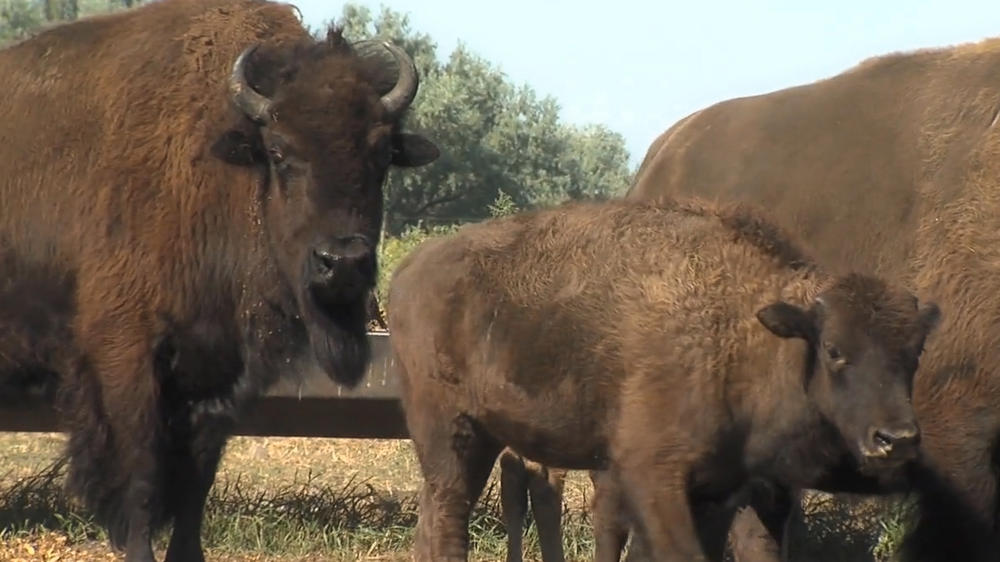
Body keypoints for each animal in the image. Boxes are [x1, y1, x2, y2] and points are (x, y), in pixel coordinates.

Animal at [0, 1, 438, 560]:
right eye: (279, 153)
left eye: (382, 157)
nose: (342, 263)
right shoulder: (124, 354)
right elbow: (140, 474)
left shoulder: (219, 371)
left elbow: (198, 476)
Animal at [386, 199, 940, 556]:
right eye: (833, 350)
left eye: (914, 352)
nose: (897, 439)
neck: (747, 330)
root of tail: (410, 268)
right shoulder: (651, 475)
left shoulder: (718, 490)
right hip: (453, 433)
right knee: (449, 519)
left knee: (433, 520)